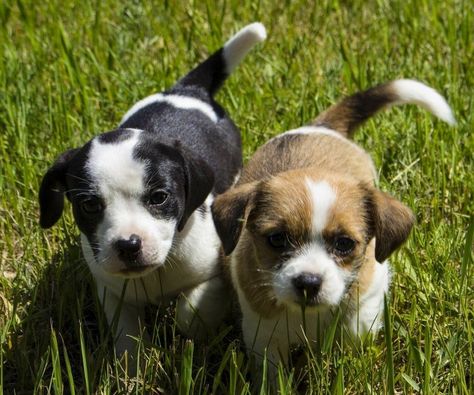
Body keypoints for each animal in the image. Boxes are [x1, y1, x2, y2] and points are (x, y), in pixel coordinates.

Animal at [38, 24, 266, 358]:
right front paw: (131, 364)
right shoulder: (112, 292)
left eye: (159, 198)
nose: (128, 245)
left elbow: (190, 312)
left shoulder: (212, 277)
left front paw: (191, 336)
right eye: (89, 205)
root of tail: (187, 91)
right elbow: (127, 336)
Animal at [212, 79, 456, 374]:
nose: (308, 283)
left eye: (344, 244)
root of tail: (321, 127)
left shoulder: (371, 291)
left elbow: (355, 330)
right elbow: (272, 372)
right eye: (277, 239)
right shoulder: (263, 334)